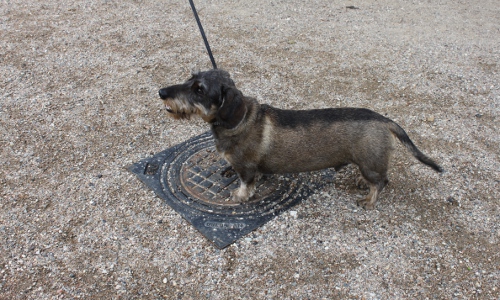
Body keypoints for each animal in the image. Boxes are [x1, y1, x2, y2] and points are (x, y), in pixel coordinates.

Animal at [158, 69, 444, 210]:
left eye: (199, 90)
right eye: (189, 79)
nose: (161, 92)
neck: (238, 122)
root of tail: (383, 119)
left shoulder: (246, 168)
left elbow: (245, 185)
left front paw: (239, 196)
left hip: (371, 162)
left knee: (382, 182)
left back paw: (369, 201)